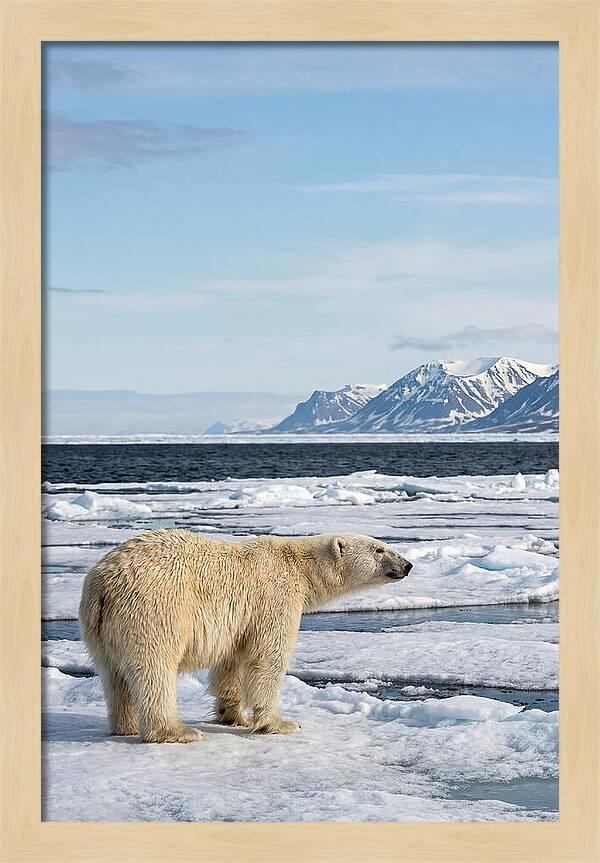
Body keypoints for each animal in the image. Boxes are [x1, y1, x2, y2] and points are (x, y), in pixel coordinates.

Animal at [79, 529, 412, 743]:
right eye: (380, 549)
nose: (408, 565)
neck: (299, 567)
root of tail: (102, 584)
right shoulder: (274, 598)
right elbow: (268, 658)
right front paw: (281, 723)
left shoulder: (241, 620)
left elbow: (232, 662)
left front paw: (235, 716)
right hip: (155, 608)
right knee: (154, 669)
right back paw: (176, 731)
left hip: (99, 628)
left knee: (113, 674)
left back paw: (126, 725)